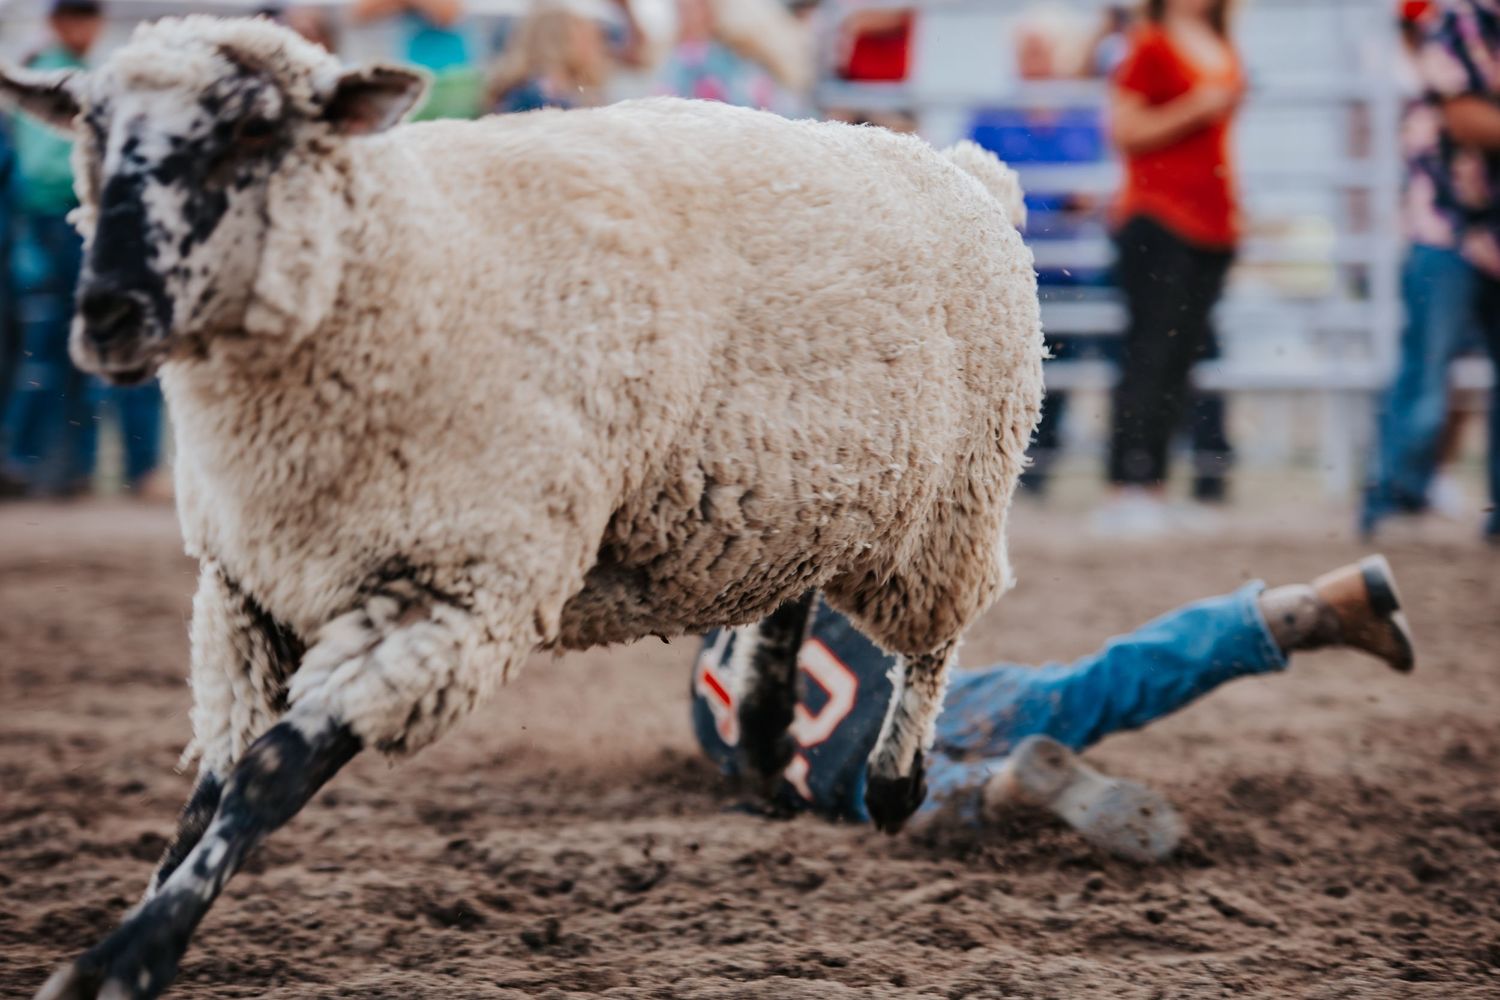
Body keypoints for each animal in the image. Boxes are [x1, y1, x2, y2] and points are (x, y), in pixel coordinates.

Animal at [2, 16, 1043, 999]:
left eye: (255, 127)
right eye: (91, 126)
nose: (108, 315)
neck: (417, 262)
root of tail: (959, 167)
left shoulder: (459, 595)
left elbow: (264, 777)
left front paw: (126, 962)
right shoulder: (246, 593)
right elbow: (207, 795)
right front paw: (137, 928)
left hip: (948, 508)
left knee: (937, 640)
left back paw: (894, 781)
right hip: (789, 496)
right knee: (791, 595)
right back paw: (760, 741)